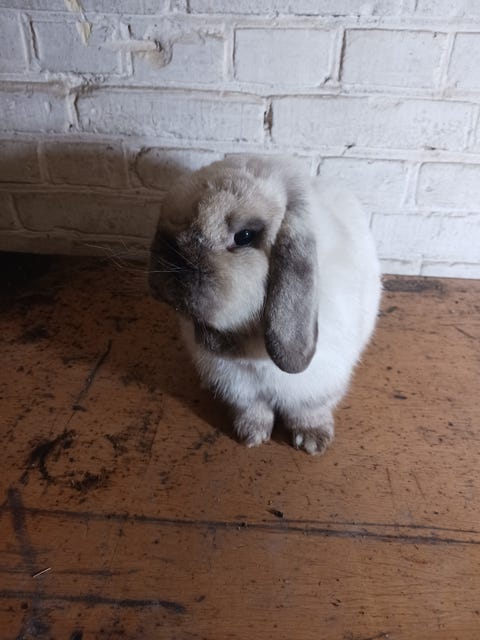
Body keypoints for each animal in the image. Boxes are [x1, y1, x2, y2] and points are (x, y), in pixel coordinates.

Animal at [149, 155, 381, 455]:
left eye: (245, 236)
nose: (168, 259)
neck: (249, 340)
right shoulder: (238, 385)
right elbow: (252, 408)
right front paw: (251, 435)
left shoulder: (318, 383)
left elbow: (308, 410)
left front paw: (312, 442)